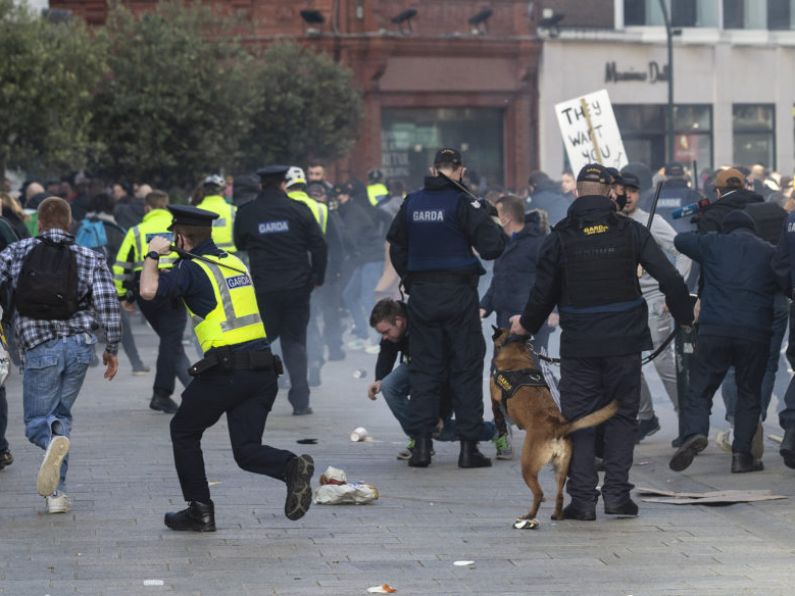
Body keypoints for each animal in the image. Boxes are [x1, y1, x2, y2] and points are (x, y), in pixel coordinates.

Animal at [492, 328, 620, 524]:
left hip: (528, 467)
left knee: (539, 493)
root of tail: (557, 427)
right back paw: (557, 515)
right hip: (561, 469)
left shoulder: (495, 395)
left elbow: (497, 413)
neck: (515, 348)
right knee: (560, 495)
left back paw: (529, 516)